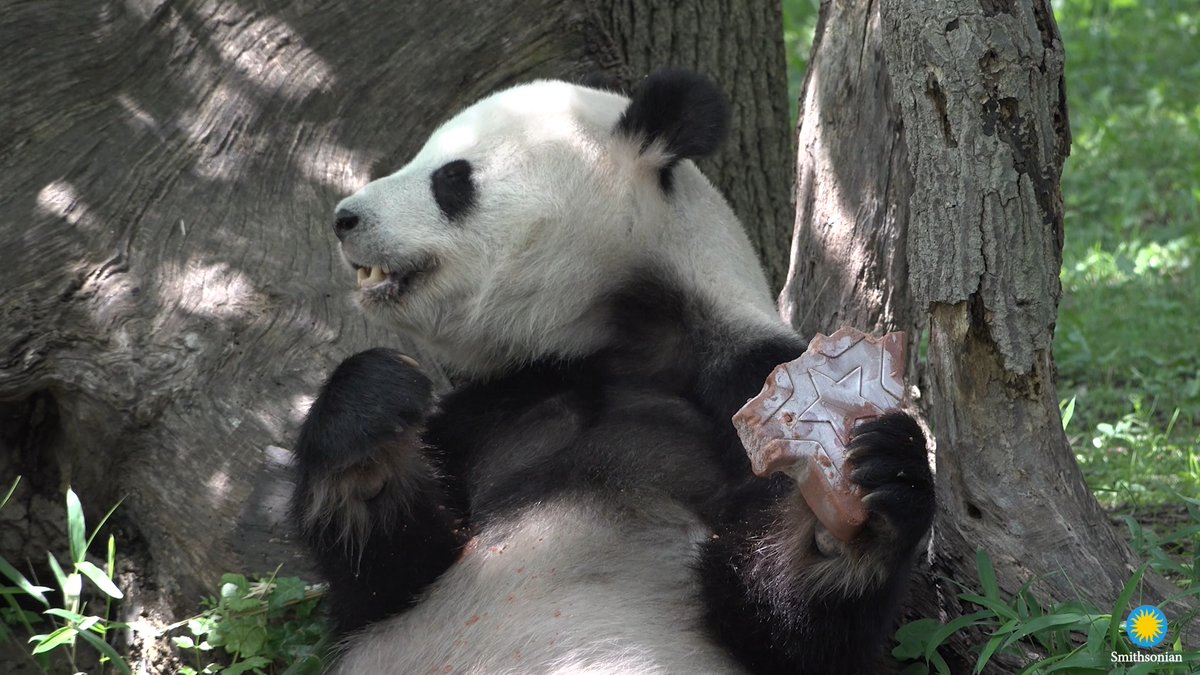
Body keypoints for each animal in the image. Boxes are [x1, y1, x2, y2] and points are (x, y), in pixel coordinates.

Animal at [291, 70, 935, 674]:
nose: (344, 218)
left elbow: (785, 634)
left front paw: (861, 507)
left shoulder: (746, 383)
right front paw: (370, 419)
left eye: (452, 178)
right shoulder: (494, 404)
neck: (617, 335)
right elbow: (391, 576)